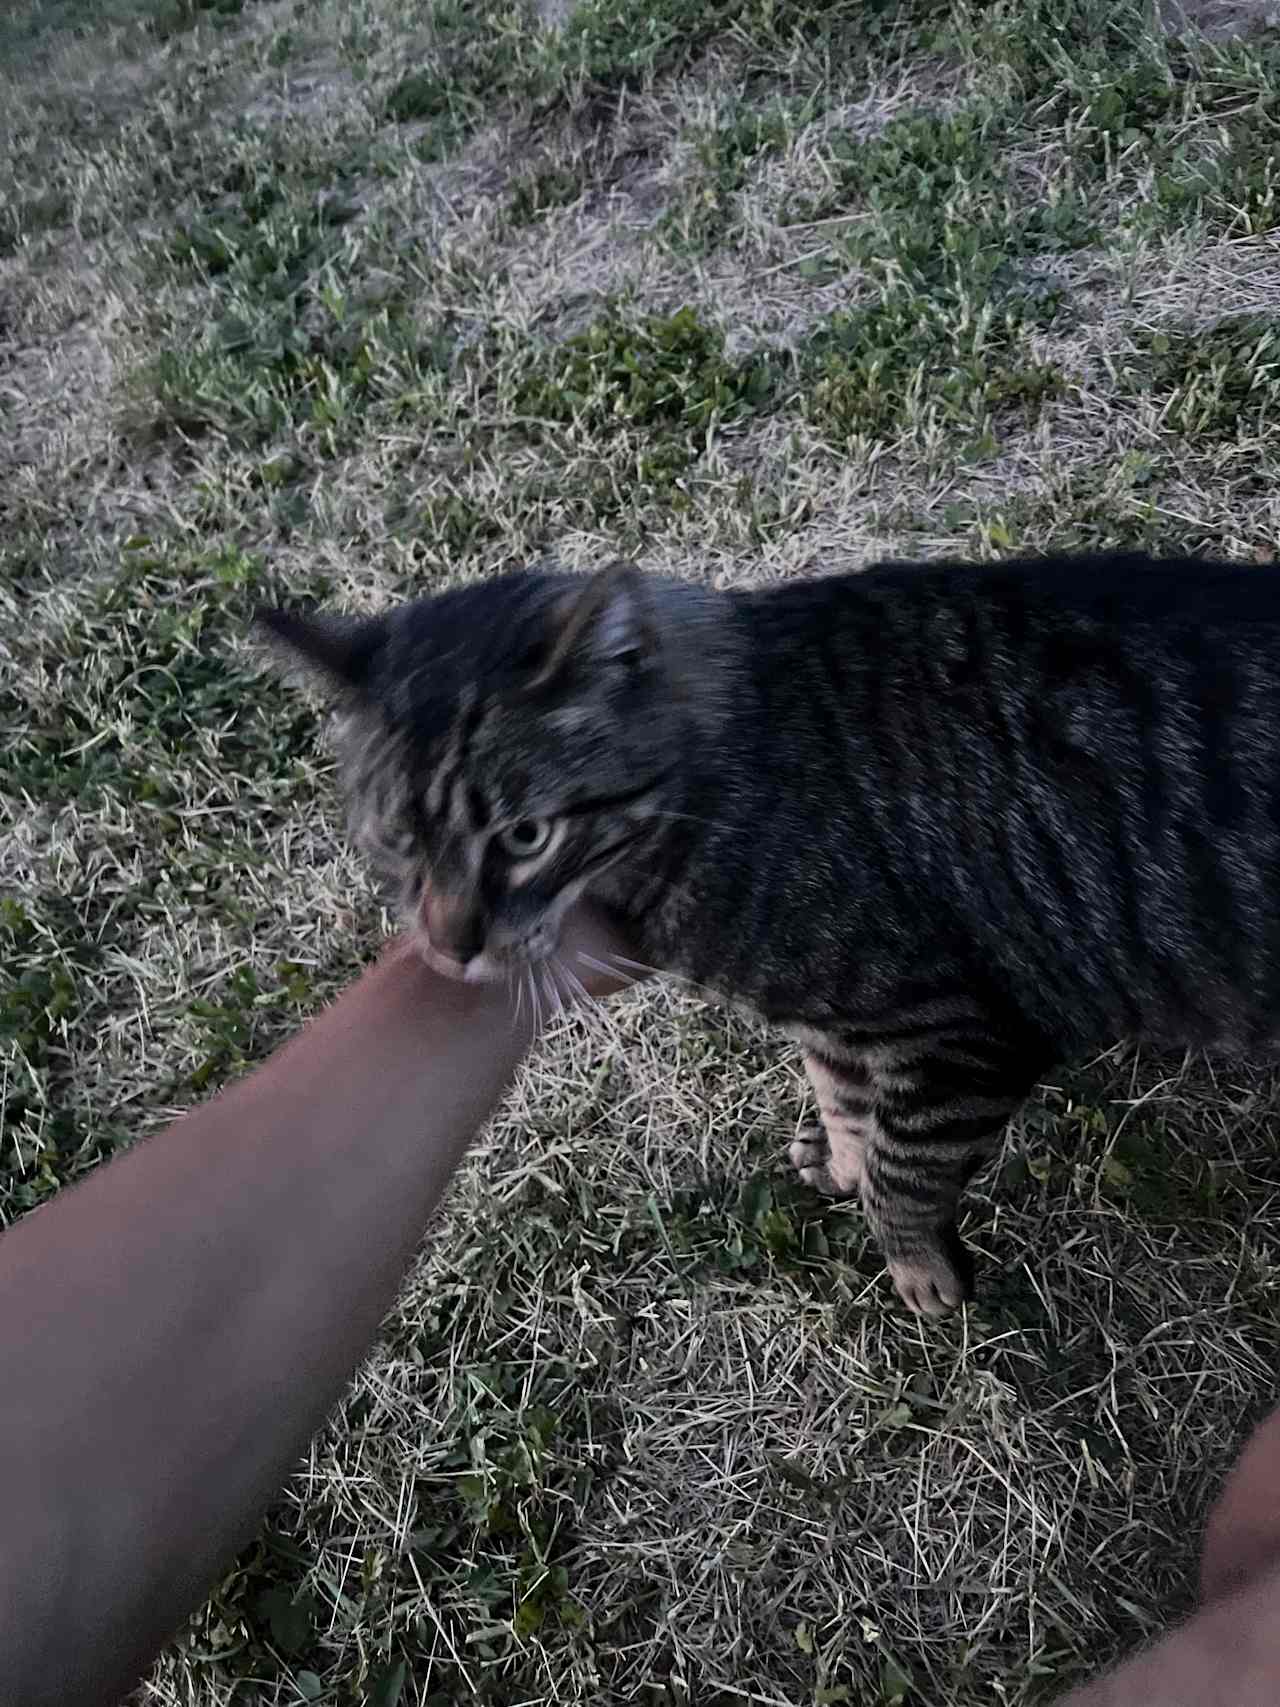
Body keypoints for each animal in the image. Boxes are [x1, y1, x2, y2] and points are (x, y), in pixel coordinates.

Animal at [257, 559, 1280, 1317]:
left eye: (525, 837)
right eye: (398, 840)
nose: (449, 946)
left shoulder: (963, 1032)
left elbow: (906, 1168)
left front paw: (918, 1268)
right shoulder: (843, 1026)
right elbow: (847, 1105)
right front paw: (842, 1160)